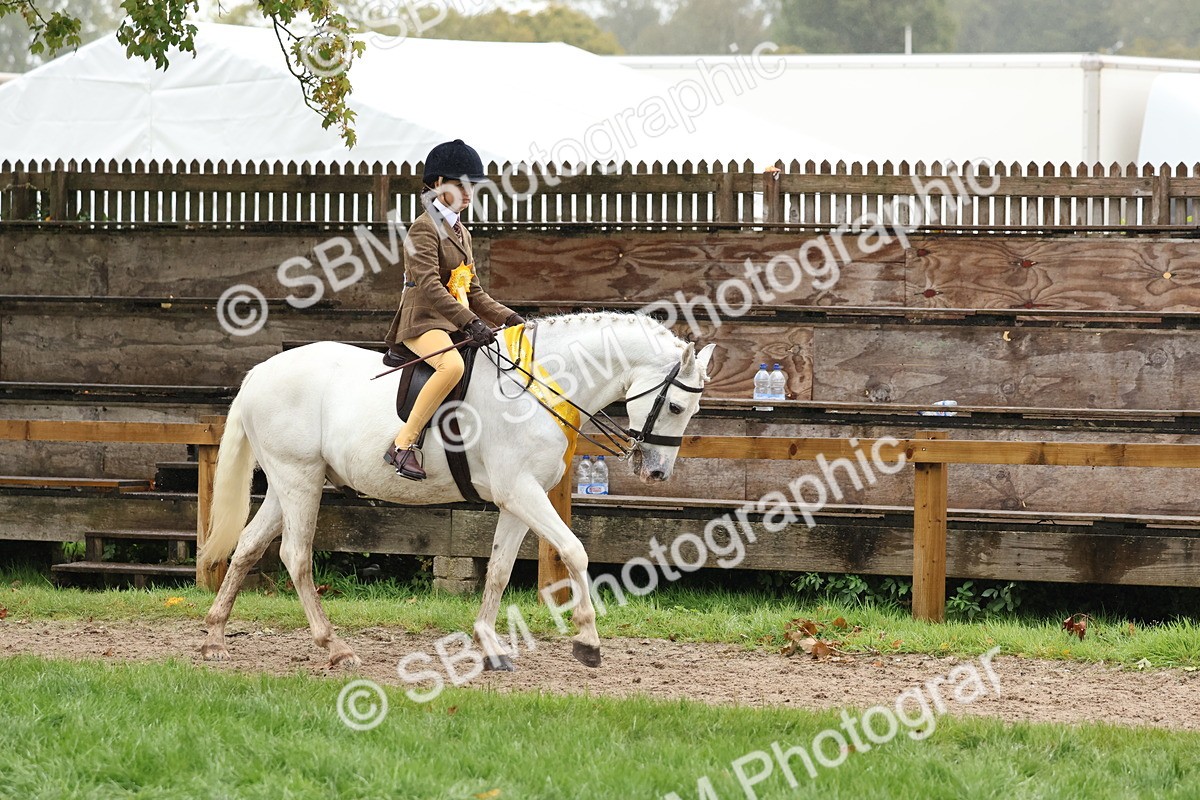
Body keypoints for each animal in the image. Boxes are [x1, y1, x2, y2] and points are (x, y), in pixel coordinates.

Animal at [197, 311, 715, 670]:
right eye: (674, 406)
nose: (657, 474)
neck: (539, 387)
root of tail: (259, 373)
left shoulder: (517, 499)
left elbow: (500, 571)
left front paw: (490, 646)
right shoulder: (521, 491)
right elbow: (574, 551)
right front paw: (587, 642)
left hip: (290, 483)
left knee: (248, 547)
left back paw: (214, 638)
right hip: (299, 478)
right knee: (296, 556)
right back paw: (336, 648)